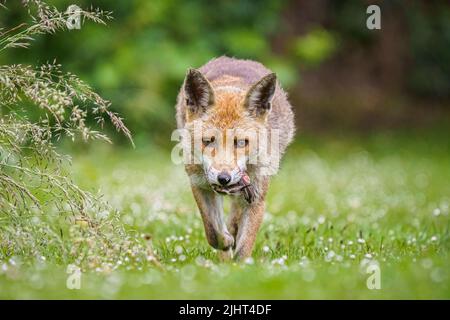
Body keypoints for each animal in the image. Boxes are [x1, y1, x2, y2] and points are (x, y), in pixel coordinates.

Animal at [176, 55, 296, 260]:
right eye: (207, 141)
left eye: (241, 142)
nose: (224, 178)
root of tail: (237, 59)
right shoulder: (199, 185)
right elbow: (213, 233)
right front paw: (225, 245)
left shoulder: (257, 197)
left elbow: (244, 247)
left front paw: (240, 266)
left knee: (235, 213)